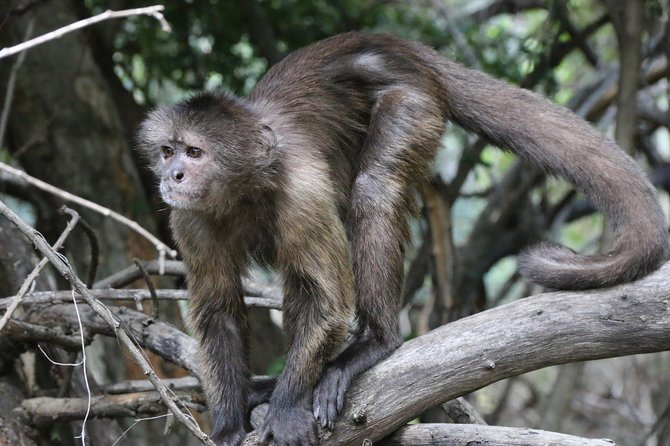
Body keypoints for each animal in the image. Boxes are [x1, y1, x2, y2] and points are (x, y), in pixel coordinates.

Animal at [138, 32, 668, 446]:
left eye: (194, 152)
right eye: (167, 151)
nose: (173, 175)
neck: (244, 189)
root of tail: (393, 45)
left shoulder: (301, 192)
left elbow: (325, 304)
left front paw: (287, 409)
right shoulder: (189, 219)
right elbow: (220, 312)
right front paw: (228, 427)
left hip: (411, 101)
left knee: (373, 189)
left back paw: (373, 343)